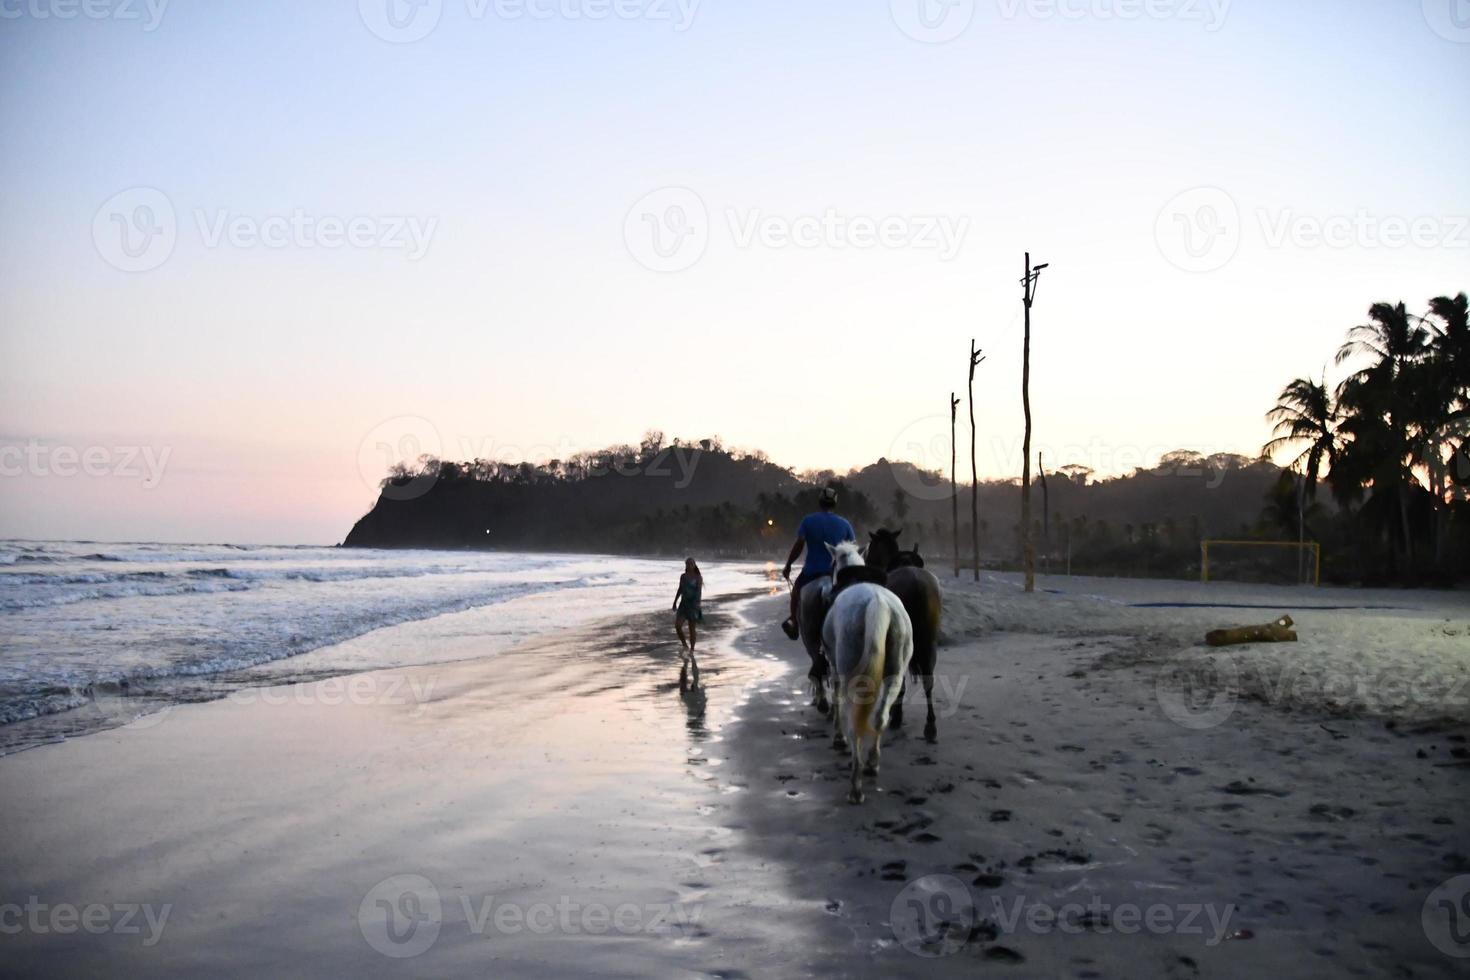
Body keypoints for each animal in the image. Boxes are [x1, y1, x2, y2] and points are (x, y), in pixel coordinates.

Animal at [823, 543, 911, 805]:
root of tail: (877, 603)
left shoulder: (835, 668)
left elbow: (837, 701)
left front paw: (838, 738)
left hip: (851, 675)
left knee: (855, 723)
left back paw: (855, 784)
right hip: (896, 672)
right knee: (880, 717)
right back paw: (872, 762)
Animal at [858, 528, 940, 743]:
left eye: (871, 549)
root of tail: (917, 583)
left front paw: (896, 714)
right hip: (929, 640)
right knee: (929, 680)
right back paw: (930, 725)